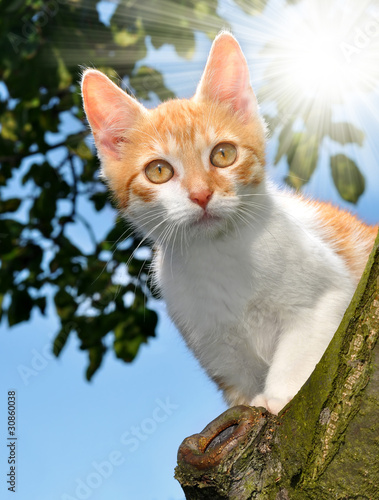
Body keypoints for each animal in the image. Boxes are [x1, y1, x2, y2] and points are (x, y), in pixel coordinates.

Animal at [81, 31, 378, 414]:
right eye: (158, 171)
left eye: (223, 154)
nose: (201, 194)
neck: (219, 252)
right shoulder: (217, 349)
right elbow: (240, 389)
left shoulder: (328, 295)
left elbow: (301, 350)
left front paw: (279, 395)